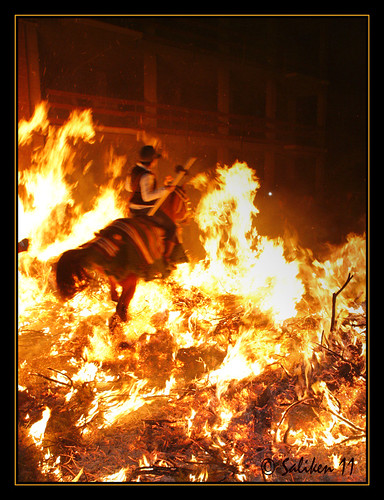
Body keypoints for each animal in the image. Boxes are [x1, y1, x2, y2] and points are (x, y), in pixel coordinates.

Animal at [55, 187, 190, 320]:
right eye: (185, 200)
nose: (187, 218)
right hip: (130, 282)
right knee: (121, 305)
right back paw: (124, 317)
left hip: (117, 277)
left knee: (115, 293)